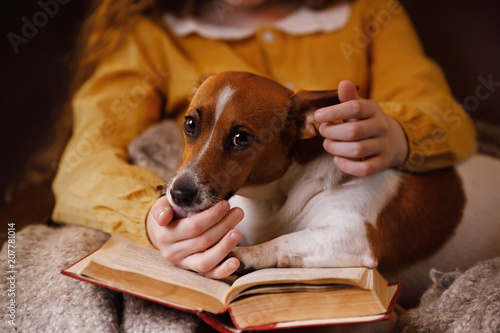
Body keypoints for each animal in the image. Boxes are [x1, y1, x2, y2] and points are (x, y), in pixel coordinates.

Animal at [130, 71, 500, 304]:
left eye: (241, 138)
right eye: (190, 124)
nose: (179, 193)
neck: (278, 197)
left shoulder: (354, 236)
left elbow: (284, 241)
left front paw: (246, 256)